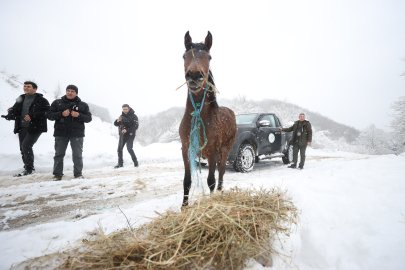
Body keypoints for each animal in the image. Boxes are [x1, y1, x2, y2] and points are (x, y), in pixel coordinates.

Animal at [179, 30, 237, 207]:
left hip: (225, 150)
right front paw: (184, 208)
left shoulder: (212, 152)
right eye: (184, 56)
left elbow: (211, 180)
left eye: (209, 57)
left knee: (221, 173)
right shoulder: (186, 150)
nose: (194, 75)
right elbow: (187, 181)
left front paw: (212, 204)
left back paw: (219, 193)